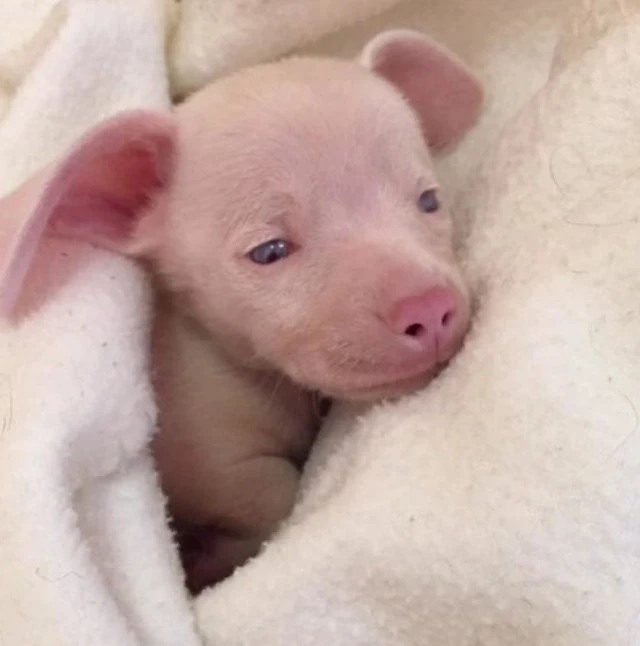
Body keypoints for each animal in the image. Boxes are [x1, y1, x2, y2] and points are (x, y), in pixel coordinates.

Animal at [0, 30, 483, 594]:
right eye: (269, 251)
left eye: (428, 201)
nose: (430, 310)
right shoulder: (203, 438)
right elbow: (272, 490)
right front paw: (205, 563)